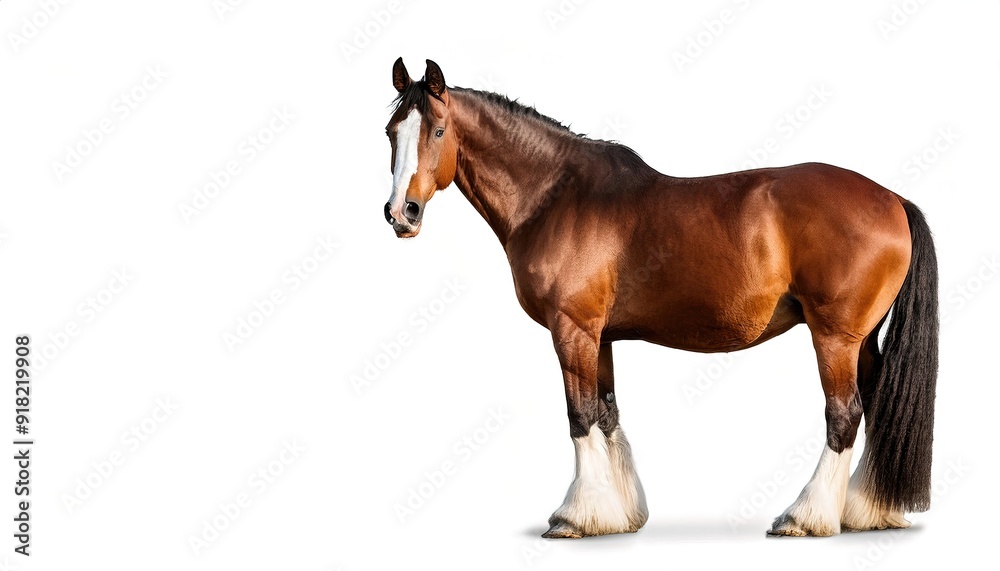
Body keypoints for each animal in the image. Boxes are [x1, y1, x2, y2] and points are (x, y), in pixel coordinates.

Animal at [382, 58, 938, 539]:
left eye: (437, 131)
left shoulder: (571, 330)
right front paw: (617, 514)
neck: (555, 197)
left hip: (835, 338)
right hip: (861, 340)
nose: (401, 212)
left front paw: (575, 517)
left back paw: (804, 516)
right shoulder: (599, 336)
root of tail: (893, 199)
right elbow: (606, 415)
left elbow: (579, 416)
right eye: (391, 132)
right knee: (874, 405)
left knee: (843, 415)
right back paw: (867, 512)